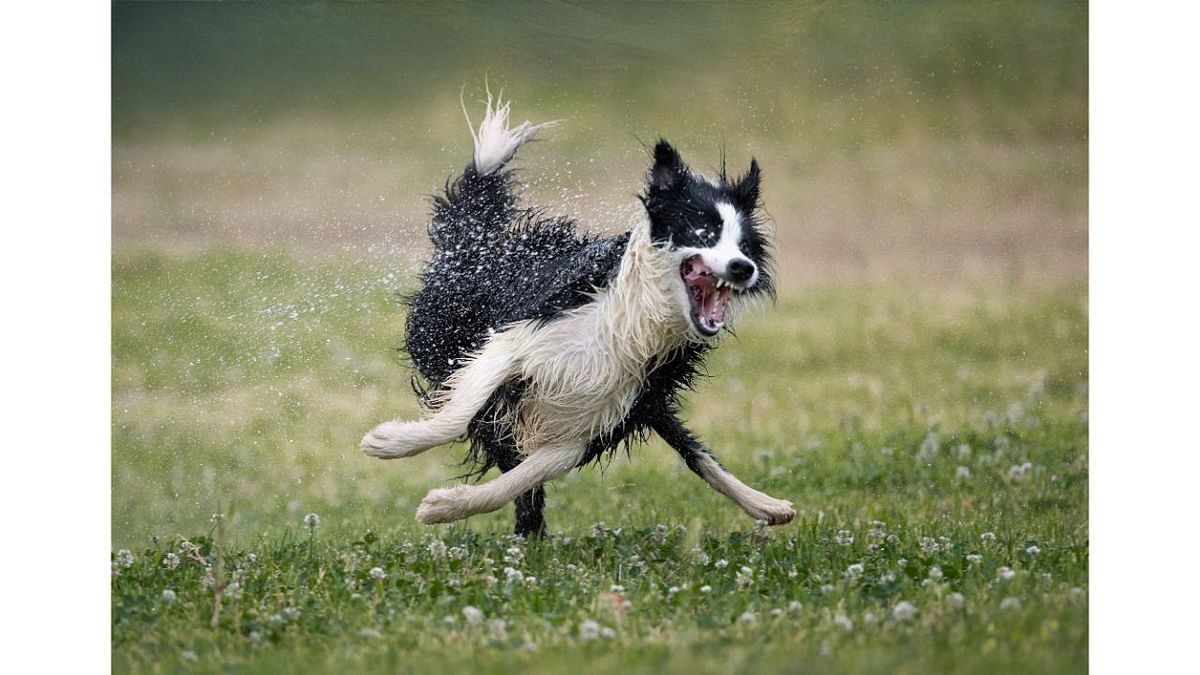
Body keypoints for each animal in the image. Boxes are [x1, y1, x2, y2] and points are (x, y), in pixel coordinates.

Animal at [364, 89, 796, 533]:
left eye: (745, 246)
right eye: (703, 232)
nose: (743, 268)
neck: (635, 320)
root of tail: (481, 241)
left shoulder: (596, 419)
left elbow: (524, 476)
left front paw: (446, 505)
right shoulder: (517, 340)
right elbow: (460, 413)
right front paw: (390, 441)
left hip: (642, 402)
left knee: (692, 451)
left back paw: (767, 505)